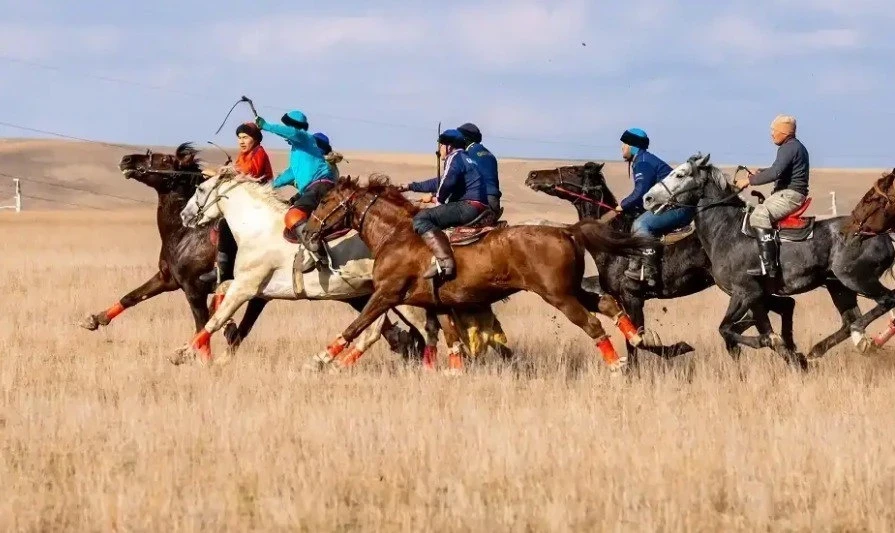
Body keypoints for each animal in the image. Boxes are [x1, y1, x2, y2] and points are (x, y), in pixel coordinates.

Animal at [176, 168, 510, 368]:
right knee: (385, 330)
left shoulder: (247, 286)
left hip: (397, 297)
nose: (184, 216)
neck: (258, 228)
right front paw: (217, 351)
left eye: (201, 189)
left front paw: (183, 353)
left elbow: (216, 319)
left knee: (420, 329)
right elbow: (223, 308)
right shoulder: (256, 289)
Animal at [301, 175, 655, 375]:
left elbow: (356, 326)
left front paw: (320, 358)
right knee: (607, 303)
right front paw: (454, 372)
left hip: (559, 296)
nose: (306, 230)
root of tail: (567, 230)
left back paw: (616, 364)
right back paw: (636, 337)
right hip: (571, 290)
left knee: (592, 323)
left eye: (326, 200)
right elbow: (451, 338)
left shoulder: (386, 293)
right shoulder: (440, 303)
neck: (396, 234)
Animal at [525, 162, 800, 363]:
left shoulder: (633, 297)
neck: (616, 240)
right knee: (781, 306)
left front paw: (678, 348)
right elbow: (632, 340)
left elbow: (638, 340)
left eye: (573, 169)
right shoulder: (619, 298)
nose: (533, 175)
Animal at [641, 153, 895, 366]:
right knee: (848, 320)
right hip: (839, 287)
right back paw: (819, 350)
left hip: (857, 279)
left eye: (680, 174)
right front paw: (788, 351)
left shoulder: (745, 293)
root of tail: (882, 235)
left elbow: (728, 328)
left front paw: (773, 342)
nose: (648, 198)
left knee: (884, 302)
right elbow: (750, 328)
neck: (726, 229)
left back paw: (858, 337)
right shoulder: (757, 297)